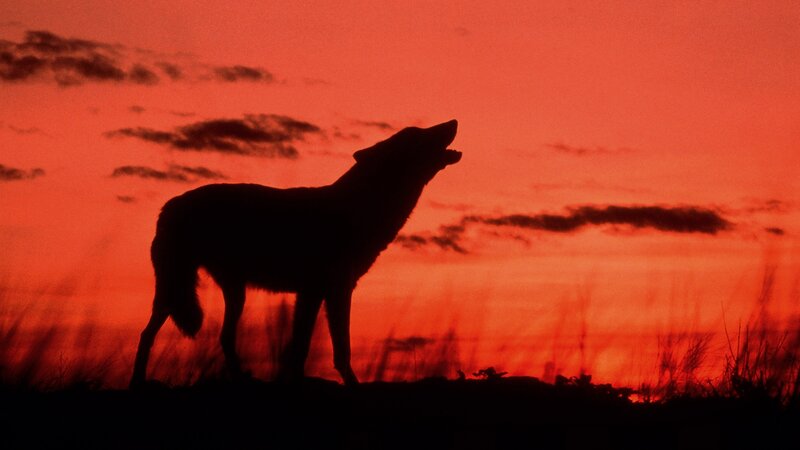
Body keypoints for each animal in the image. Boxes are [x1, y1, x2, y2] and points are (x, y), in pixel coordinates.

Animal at [130, 120, 461, 387]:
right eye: (418, 134)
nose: (453, 121)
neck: (358, 209)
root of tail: (169, 205)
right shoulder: (327, 291)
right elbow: (329, 348)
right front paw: (345, 383)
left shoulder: (319, 293)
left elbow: (306, 347)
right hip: (178, 293)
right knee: (148, 336)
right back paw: (137, 383)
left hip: (227, 294)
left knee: (220, 337)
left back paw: (241, 380)